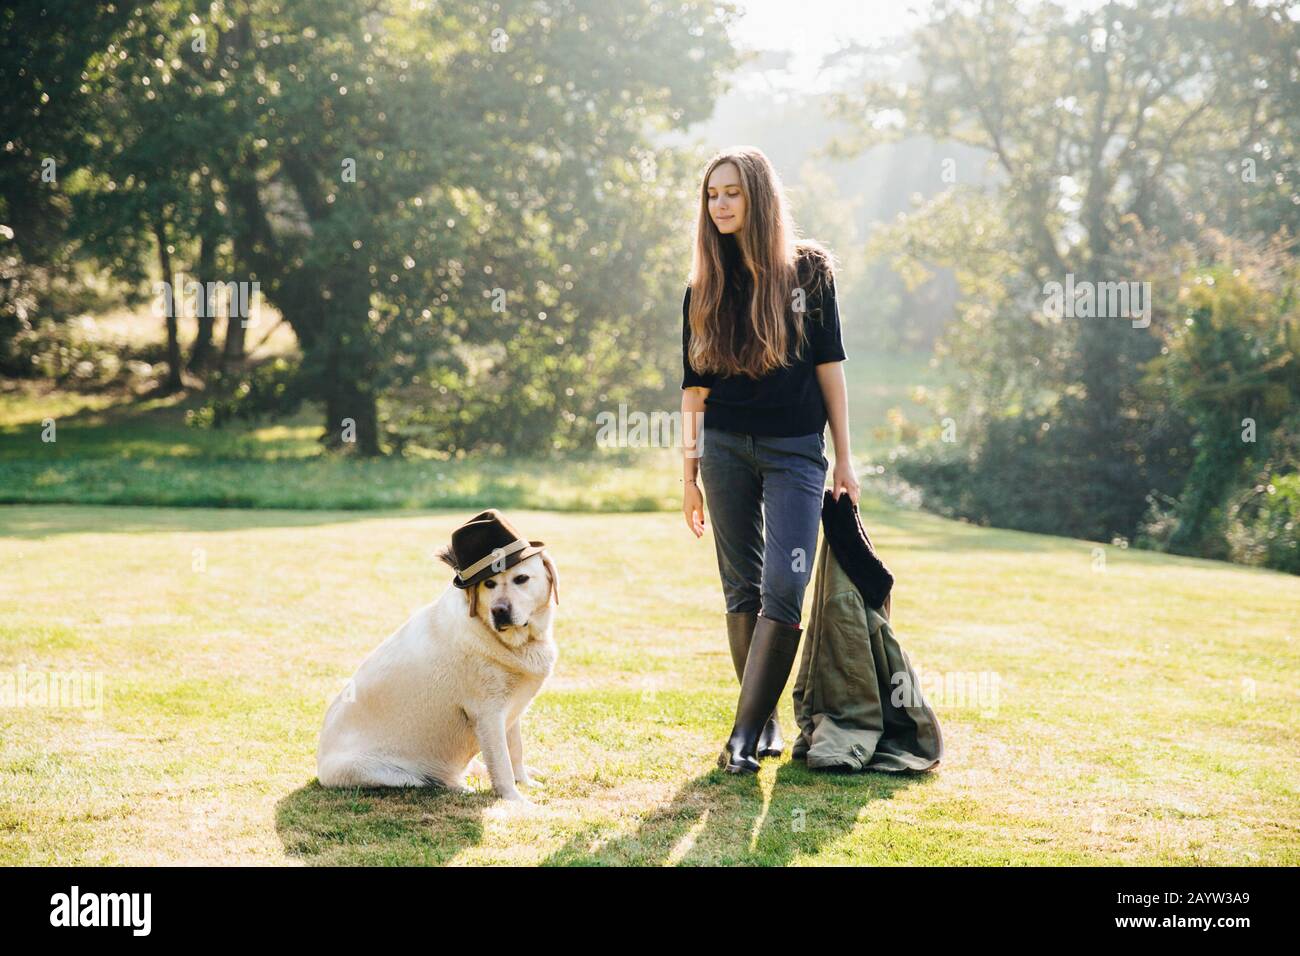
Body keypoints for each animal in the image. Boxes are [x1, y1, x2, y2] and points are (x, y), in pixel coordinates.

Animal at [318, 541, 559, 806]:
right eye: (489, 583)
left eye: (521, 578)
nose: (499, 611)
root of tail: (319, 767)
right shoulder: (487, 715)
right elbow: (502, 763)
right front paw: (515, 801)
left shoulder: (512, 711)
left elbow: (515, 751)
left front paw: (524, 781)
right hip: (386, 773)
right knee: (435, 782)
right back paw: (462, 787)